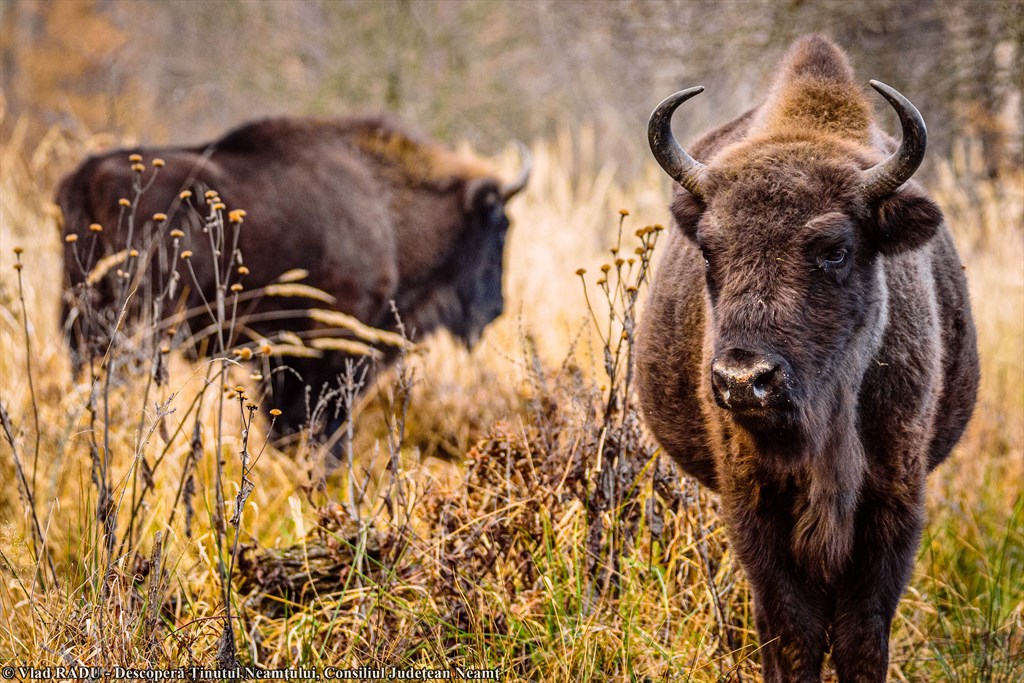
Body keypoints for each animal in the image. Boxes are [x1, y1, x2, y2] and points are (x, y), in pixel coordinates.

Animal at [638, 35, 978, 682]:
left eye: (834, 250)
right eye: (710, 251)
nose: (743, 380)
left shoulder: (893, 505)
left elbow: (860, 636)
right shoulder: (755, 508)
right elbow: (792, 633)